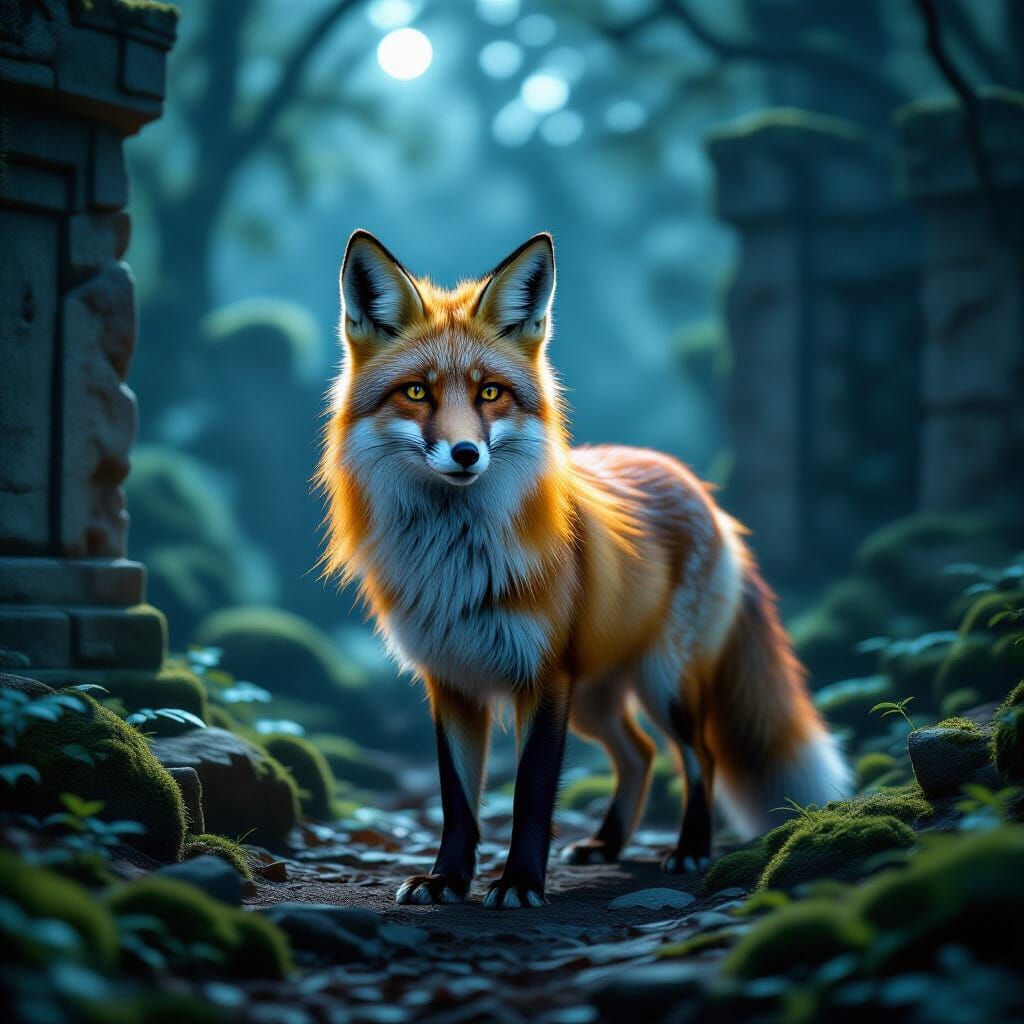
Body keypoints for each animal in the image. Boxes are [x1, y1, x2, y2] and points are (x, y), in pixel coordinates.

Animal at [317, 230, 850, 910]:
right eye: (416, 392)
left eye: (490, 392)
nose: (466, 453)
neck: (457, 565)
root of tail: (698, 487)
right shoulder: (451, 680)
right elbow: (457, 802)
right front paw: (447, 880)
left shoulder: (544, 678)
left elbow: (531, 793)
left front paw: (519, 884)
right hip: (597, 697)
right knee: (640, 754)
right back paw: (608, 844)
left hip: (663, 682)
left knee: (698, 756)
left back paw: (690, 850)